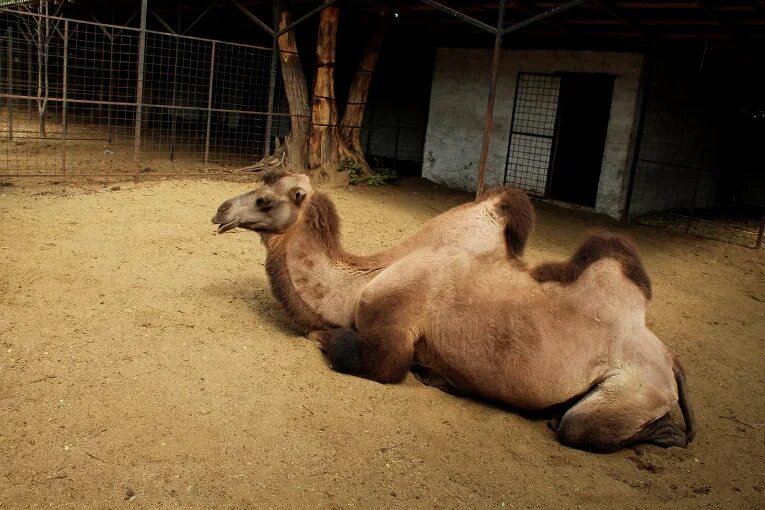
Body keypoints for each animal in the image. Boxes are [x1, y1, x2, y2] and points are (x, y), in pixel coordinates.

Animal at [212, 172, 696, 454]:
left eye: (266, 200)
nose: (220, 209)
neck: (357, 284)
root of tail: (670, 361)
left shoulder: (390, 333)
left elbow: (363, 355)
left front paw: (322, 337)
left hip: (636, 388)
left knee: (578, 425)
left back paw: (661, 433)